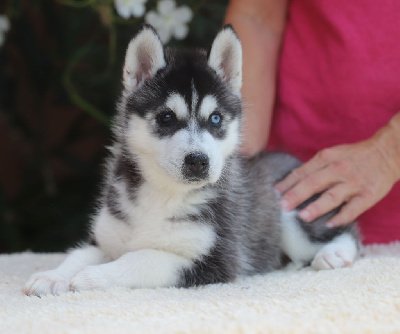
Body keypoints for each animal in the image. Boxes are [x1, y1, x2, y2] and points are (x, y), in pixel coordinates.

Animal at [23, 24, 360, 296]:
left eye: (215, 119)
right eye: (166, 117)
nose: (198, 160)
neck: (163, 195)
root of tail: (289, 158)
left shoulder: (216, 260)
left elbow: (143, 258)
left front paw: (90, 277)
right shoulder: (107, 238)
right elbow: (78, 254)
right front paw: (51, 276)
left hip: (293, 210)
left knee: (347, 232)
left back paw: (333, 254)